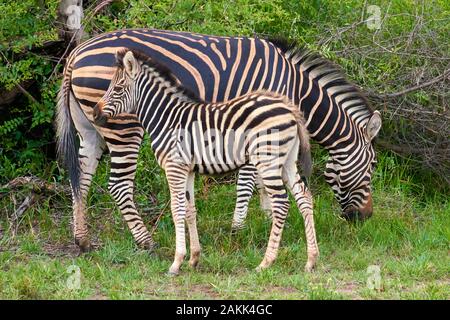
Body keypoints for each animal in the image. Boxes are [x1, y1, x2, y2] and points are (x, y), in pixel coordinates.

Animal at [55, 28, 380, 251]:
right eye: (373, 166)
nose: (365, 219)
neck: (296, 88)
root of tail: (76, 53)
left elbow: (261, 181)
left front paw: (267, 217)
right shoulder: (257, 124)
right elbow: (248, 180)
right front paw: (239, 229)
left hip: (90, 127)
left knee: (81, 178)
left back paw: (82, 239)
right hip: (123, 125)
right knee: (119, 184)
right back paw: (146, 241)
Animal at [93, 50, 320, 276]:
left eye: (118, 89)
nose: (95, 114)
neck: (168, 119)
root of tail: (289, 108)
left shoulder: (174, 167)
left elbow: (177, 210)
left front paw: (176, 262)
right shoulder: (188, 169)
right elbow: (190, 210)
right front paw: (194, 258)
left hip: (268, 160)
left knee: (281, 203)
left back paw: (266, 262)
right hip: (287, 160)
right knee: (304, 197)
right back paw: (311, 260)